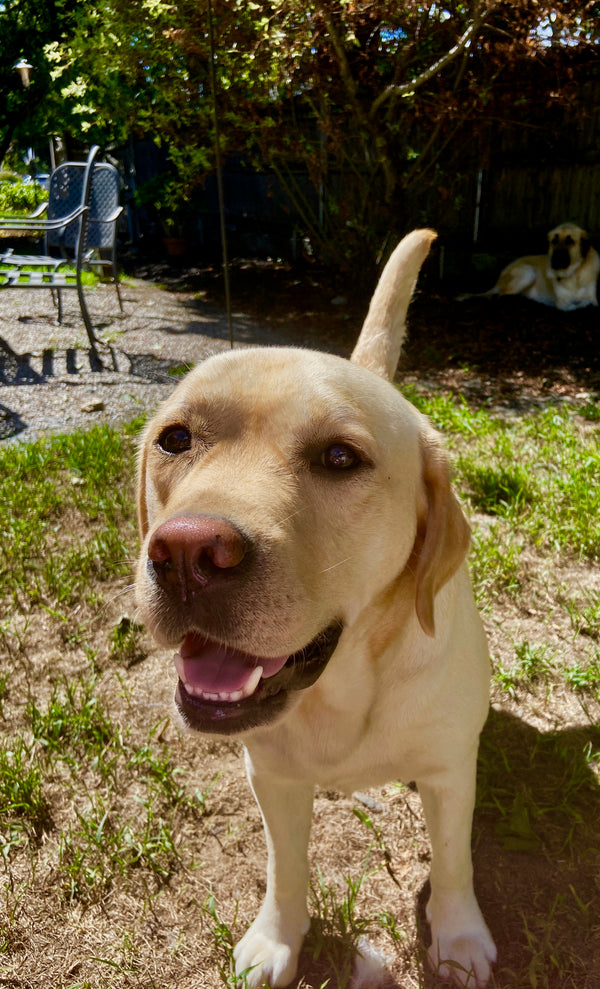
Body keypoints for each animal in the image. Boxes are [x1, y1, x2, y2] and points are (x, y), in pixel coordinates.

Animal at [136, 228, 496, 984]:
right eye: (176, 438)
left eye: (339, 457)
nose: (186, 553)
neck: (342, 688)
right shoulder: (272, 776)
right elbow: (286, 868)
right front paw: (279, 938)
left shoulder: (452, 771)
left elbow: (454, 863)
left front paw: (459, 936)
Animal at [462, 222, 596, 310]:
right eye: (554, 241)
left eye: (570, 241)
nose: (554, 258)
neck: (574, 274)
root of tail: (498, 280)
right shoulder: (562, 303)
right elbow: (576, 306)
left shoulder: (593, 299)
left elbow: (586, 302)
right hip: (528, 270)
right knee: (501, 296)